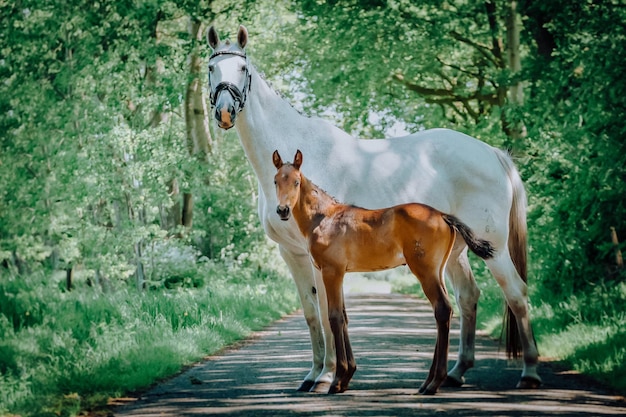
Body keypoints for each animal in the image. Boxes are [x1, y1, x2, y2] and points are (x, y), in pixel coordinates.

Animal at [206, 24, 540, 392]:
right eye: (211, 68)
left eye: (243, 68)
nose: (225, 112)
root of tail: (493, 154)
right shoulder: (291, 254)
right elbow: (311, 314)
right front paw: (313, 374)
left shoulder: (321, 260)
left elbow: (329, 314)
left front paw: (327, 376)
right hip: (455, 254)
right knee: (468, 297)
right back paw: (456, 372)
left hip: (494, 248)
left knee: (517, 294)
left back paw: (529, 372)